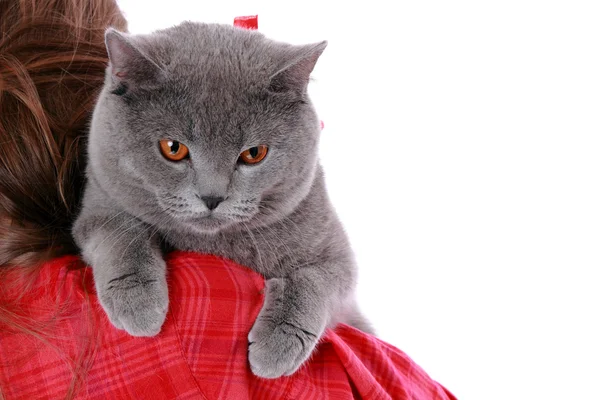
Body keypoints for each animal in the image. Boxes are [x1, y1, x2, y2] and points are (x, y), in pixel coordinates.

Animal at [73, 21, 372, 378]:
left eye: (254, 153)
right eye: (173, 148)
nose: (212, 196)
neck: (214, 243)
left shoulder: (336, 254)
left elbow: (315, 280)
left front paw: (279, 344)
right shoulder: (98, 205)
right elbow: (120, 234)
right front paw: (137, 301)